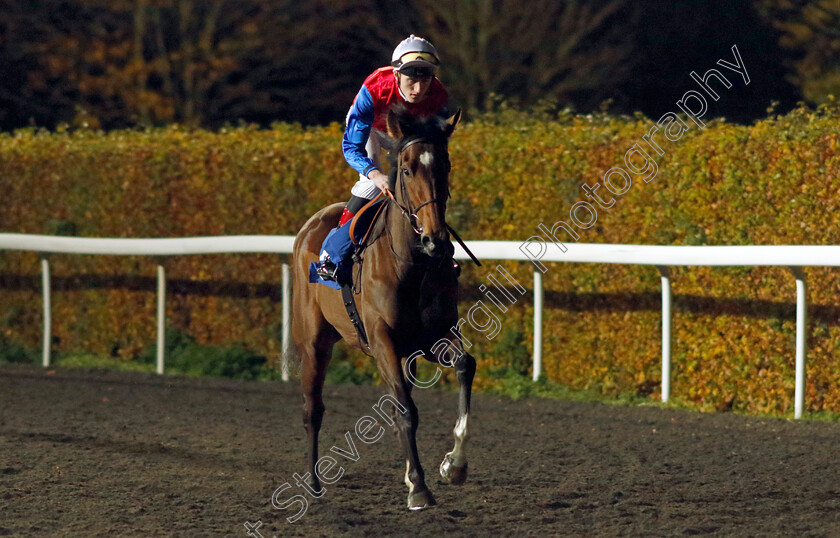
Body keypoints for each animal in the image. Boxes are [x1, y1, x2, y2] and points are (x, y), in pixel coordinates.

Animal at [288, 105, 472, 506]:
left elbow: (465, 366)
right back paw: (313, 484)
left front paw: (454, 466)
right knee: (312, 408)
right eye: (406, 169)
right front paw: (419, 487)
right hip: (314, 342)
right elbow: (405, 409)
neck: (412, 264)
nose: (435, 241)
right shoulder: (382, 337)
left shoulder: (433, 337)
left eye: (446, 165)